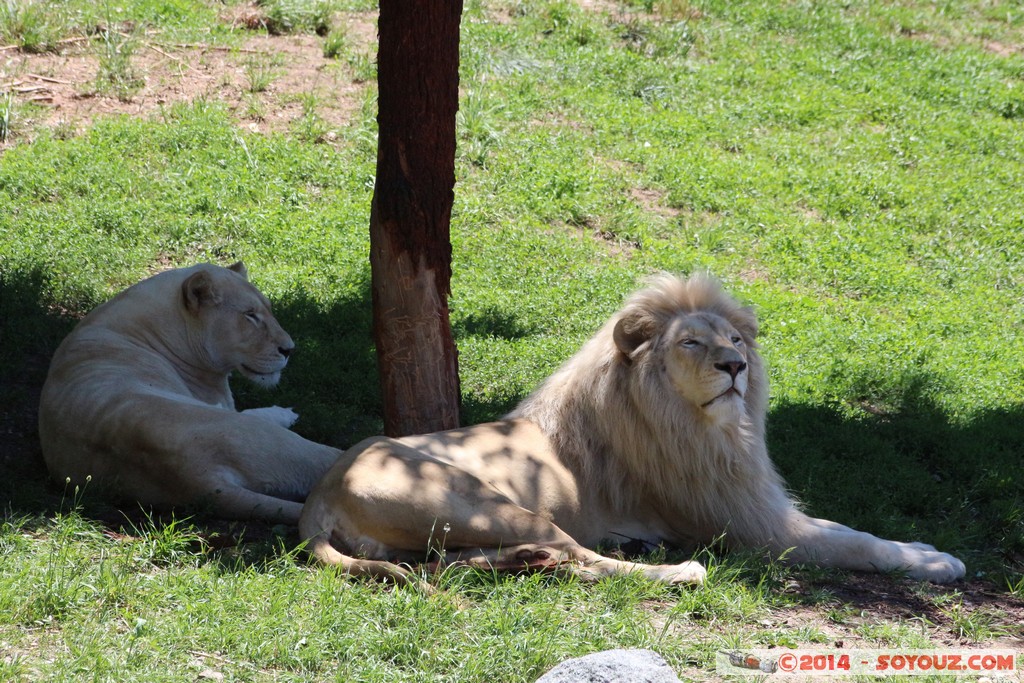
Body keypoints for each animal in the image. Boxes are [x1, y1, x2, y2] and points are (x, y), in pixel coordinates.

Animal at [39, 262, 340, 523]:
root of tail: (195, 480)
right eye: (250, 315)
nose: (289, 349)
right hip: (275, 442)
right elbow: (254, 412)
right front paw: (285, 412)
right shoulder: (222, 403)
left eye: (268, 310)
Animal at [299, 274, 966, 586]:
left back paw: (528, 562)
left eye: (735, 338)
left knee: (462, 565)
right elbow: (855, 542)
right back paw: (674, 570)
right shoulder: (749, 525)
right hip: (485, 501)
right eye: (692, 342)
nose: (735, 366)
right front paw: (935, 560)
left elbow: (849, 529)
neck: (703, 428)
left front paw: (924, 548)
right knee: (587, 559)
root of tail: (318, 499)